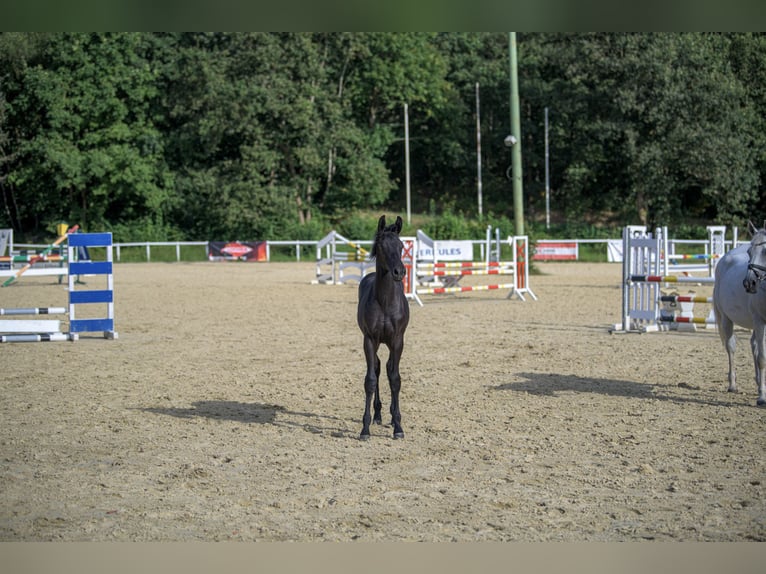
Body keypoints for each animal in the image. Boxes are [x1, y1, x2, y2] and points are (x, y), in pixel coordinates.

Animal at [712, 223, 766, 408]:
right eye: (749, 252)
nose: (749, 283)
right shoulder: (760, 322)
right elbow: (762, 358)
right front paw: (762, 397)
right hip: (727, 320)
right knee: (731, 347)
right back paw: (733, 385)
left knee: (753, 346)